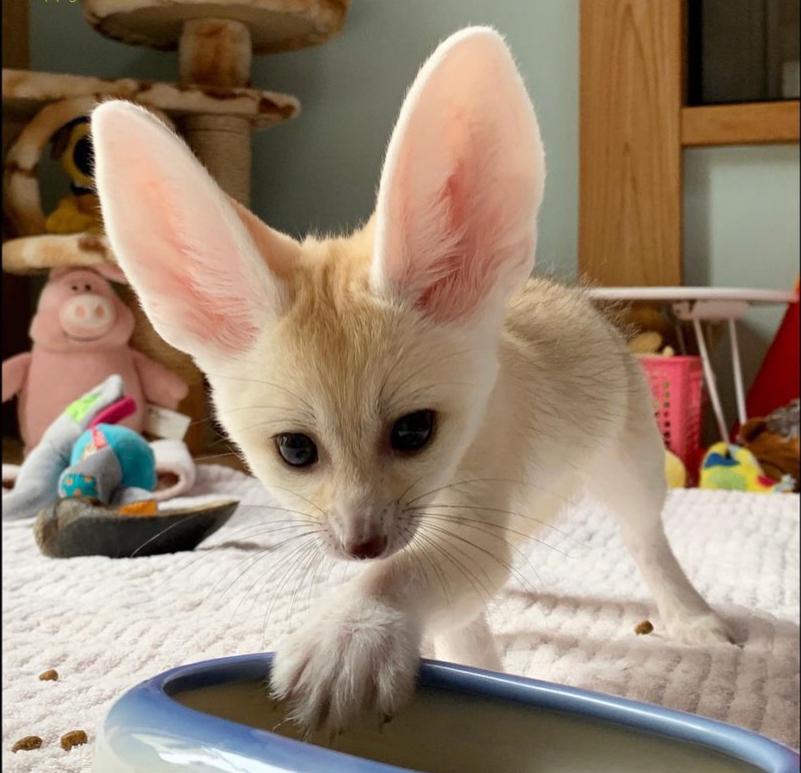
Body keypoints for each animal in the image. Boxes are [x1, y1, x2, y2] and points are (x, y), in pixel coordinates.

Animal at [91, 26, 733, 736]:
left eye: (414, 432)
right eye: (295, 450)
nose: (361, 545)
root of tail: (564, 294)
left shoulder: (468, 520)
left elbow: (413, 574)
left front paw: (350, 634)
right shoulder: (464, 528)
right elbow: (459, 617)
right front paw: (454, 662)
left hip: (630, 462)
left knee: (646, 538)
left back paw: (690, 614)